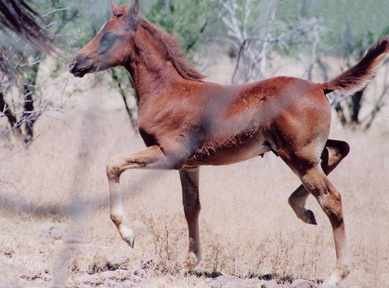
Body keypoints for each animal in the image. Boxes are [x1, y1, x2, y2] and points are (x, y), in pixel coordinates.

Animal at [69, 0, 388, 286]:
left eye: (109, 36)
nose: (75, 63)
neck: (167, 91)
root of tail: (320, 86)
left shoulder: (169, 155)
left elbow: (113, 164)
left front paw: (127, 233)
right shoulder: (189, 165)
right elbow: (191, 207)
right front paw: (190, 262)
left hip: (298, 156)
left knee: (331, 198)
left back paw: (336, 273)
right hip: (302, 151)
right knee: (338, 150)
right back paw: (301, 208)